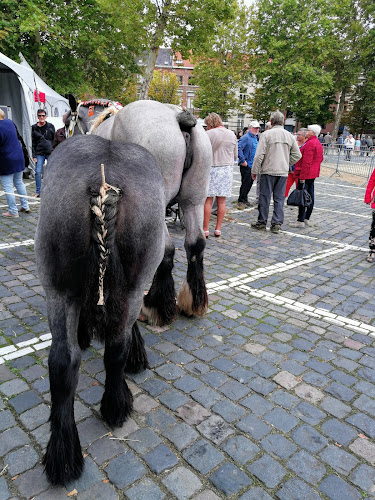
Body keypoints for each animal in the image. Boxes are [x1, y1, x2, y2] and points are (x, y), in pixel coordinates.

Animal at [35, 136, 166, 484]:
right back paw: (116, 406)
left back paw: (63, 455)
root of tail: (104, 181)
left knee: (63, 360)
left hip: (58, 289)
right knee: (114, 348)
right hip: (132, 285)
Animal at [70, 98, 213, 324]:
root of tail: (179, 117)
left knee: (166, 250)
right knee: (196, 245)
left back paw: (154, 306)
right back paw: (193, 302)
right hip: (194, 201)